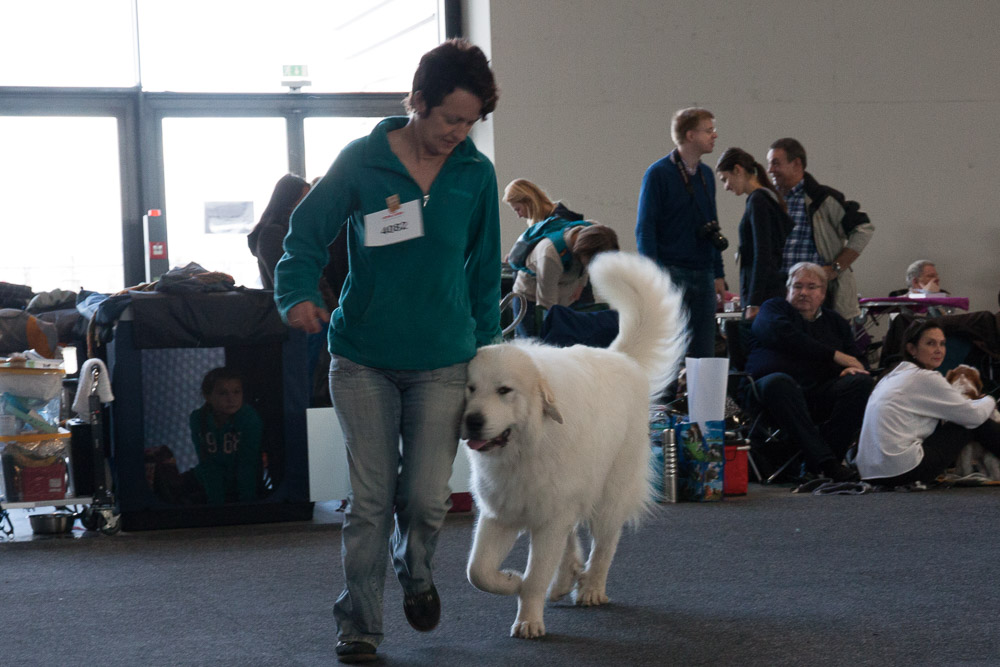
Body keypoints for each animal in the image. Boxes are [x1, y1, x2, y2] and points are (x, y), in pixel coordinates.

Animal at [460, 253, 688, 640]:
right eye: (470, 389)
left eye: (504, 391)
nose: (473, 421)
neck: (525, 448)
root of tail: (621, 358)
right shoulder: (500, 514)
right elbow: (478, 572)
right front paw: (511, 580)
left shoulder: (549, 518)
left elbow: (535, 575)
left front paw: (528, 617)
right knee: (571, 542)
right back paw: (565, 581)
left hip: (609, 495)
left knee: (604, 545)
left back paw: (592, 588)